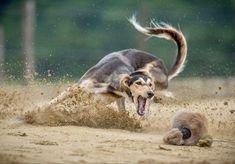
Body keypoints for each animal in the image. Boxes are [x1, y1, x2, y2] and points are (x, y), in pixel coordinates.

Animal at [42, 16, 187, 116]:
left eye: (150, 85)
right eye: (138, 83)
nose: (151, 93)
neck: (110, 81)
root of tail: (166, 70)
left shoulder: (97, 102)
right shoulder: (76, 88)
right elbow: (53, 102)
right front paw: (39, 111)